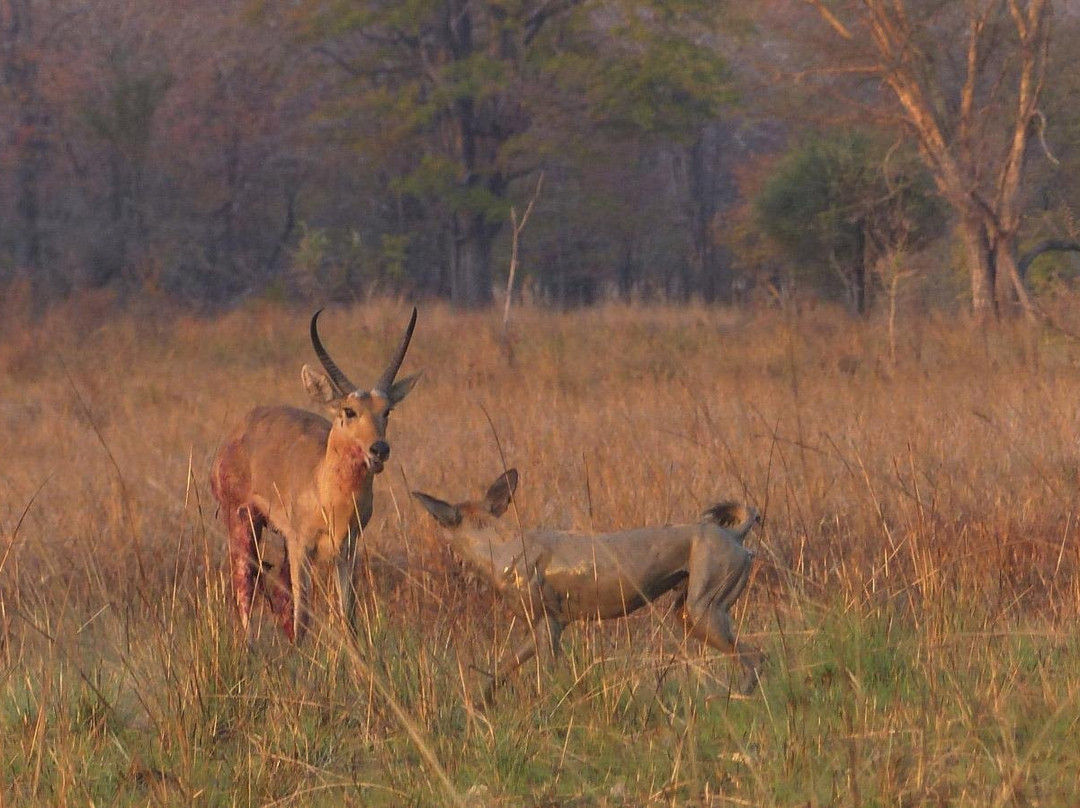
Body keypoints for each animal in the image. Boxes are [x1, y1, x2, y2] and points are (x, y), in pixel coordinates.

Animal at [208, 306, 419, 643]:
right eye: (349, 411)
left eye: (386, 411)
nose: (379, 449)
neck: (326, 488)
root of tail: (238, 430)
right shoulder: (301, 546)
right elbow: (303, 615)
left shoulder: (347, 550)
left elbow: (347, 616)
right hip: (242, 521)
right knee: (245, 588)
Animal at [408, 470, 764, 704]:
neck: (498, 547)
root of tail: (734, 534)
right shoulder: (539, 629)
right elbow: (500, 670)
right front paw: (477, 705)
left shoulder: (549, 628)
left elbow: (551, 675)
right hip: (689, 615)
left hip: (704, 612)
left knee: (756, 658)